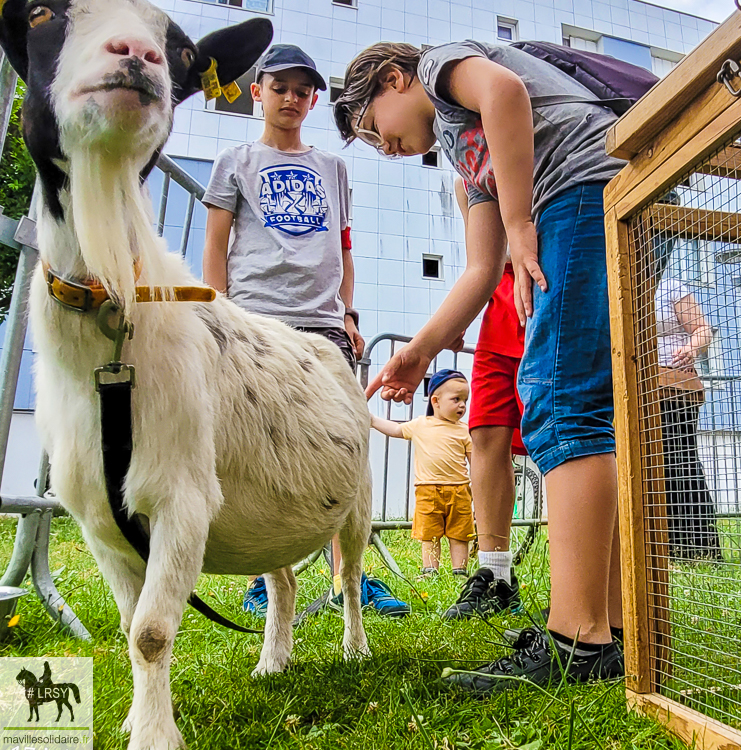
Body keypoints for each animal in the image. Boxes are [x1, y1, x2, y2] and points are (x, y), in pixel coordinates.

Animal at [0, 1, 370, 750]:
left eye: (178, 50)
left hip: (358, 503)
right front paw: (138, 721)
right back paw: (273, 660)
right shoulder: (97, 519)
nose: (135, 55)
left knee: (347, 579)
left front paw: (152, 736)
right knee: (283, 582)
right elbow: (129, 624)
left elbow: (148, 631)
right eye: (42, 13)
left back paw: (352, 648)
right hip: (269, 506)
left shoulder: (182, 496)